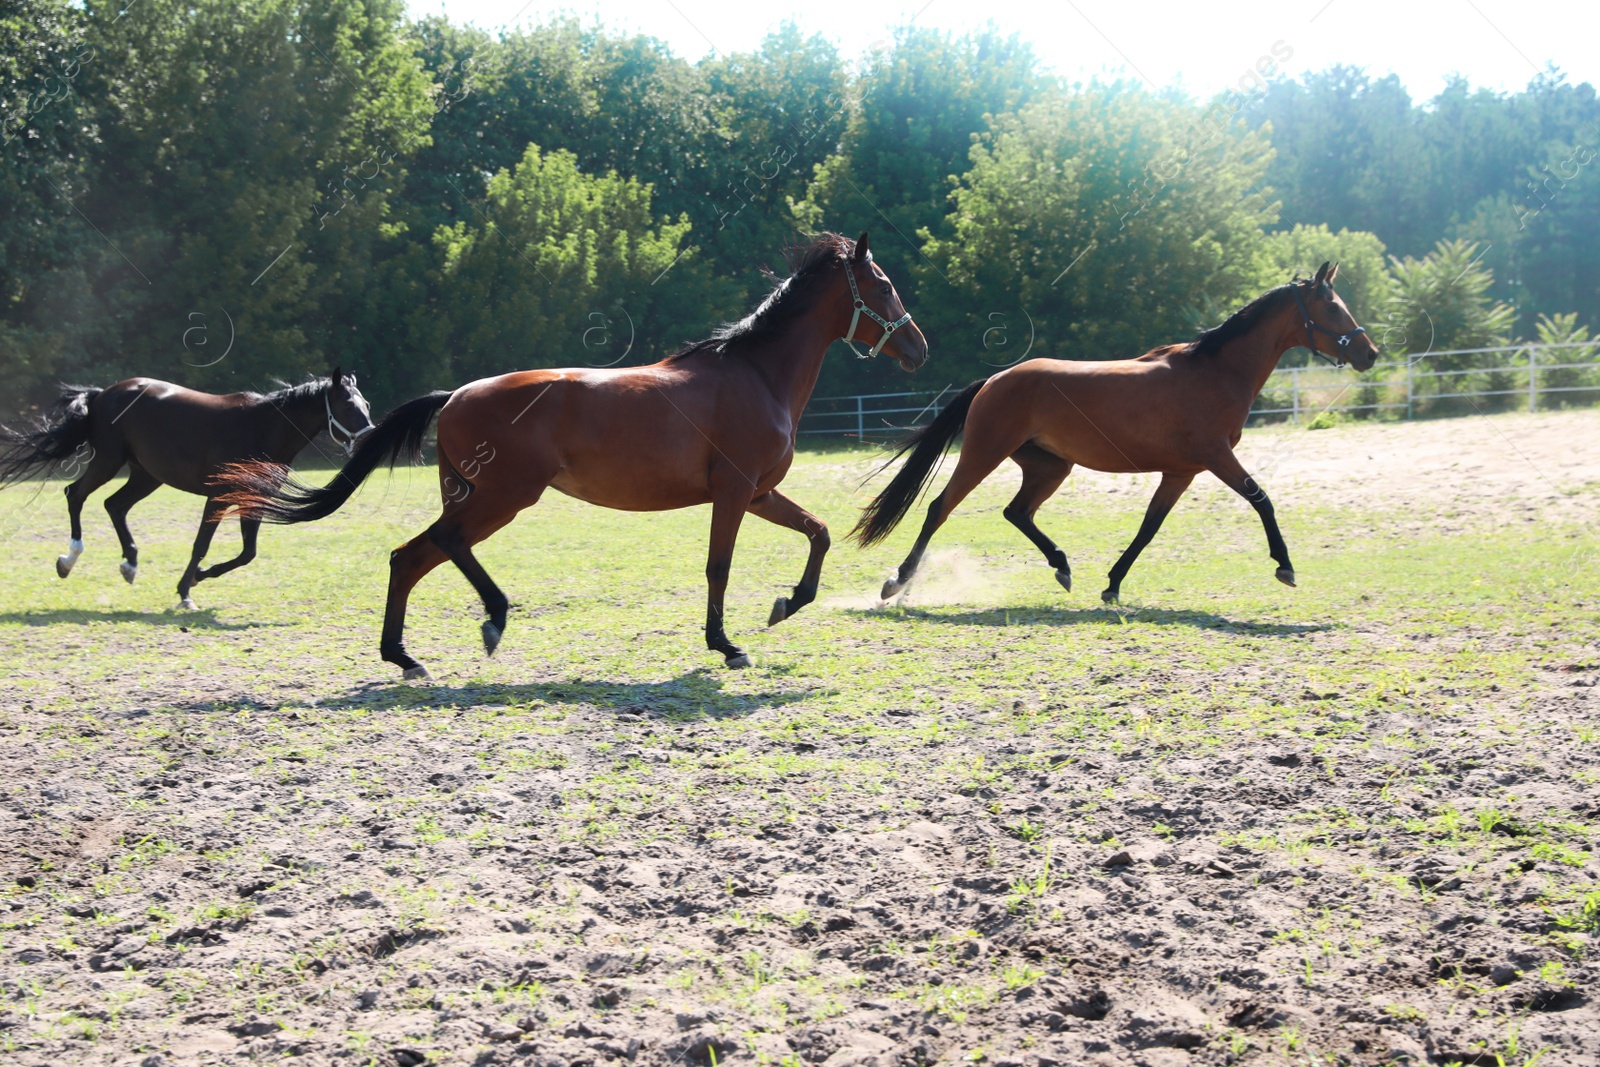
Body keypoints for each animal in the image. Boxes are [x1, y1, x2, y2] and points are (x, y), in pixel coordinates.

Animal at [0, 374, 371, 607]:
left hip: (146, 475)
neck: (262, 428)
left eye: (365, 404)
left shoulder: (252, 499)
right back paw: (69, 559)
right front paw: (185, 591)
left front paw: (196, 579)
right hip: (108, 460)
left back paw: (129, 564)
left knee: (114, 505)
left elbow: (247, 553)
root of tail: (103, 393)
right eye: (348, 407)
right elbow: (202, 545)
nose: (368, 439)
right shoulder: (219, 496)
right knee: (76, 495)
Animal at [219, 236, 934, 681]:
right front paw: (726, 645)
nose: (920, 348)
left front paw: (788, 603)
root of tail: (458, 394)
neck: (756, 375)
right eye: (883, 286)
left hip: (474, 495)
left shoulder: (758, 493)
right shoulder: (733, 493)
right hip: (504, 496)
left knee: (417, 554)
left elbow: (818, 533)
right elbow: (719, 567)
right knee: (437, 548)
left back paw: (418, 652)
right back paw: (476, 626)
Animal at [857, 263, 1382, 604]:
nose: (1370, 353)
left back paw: (1062, 566)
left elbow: (1149, 527)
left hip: (1050, 466)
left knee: (1017, 512)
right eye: (1333, 307)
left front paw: (1112, 584)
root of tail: (994, 380)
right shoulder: (1216, 458)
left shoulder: (1181, 472)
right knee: (939, 509)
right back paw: (898, 583)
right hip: (984, 455)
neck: (1214, 371)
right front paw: (1284, 566)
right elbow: (1262, 499)